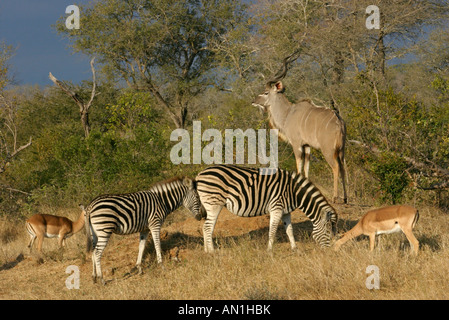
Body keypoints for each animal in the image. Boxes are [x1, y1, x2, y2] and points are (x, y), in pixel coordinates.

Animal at [195, 165, 336, 252]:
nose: (329, 252)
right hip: (214, 204)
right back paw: (212, 252)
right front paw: (269, 251)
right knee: (208, 227)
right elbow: (272, 231)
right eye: (328, 232)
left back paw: (206, 251)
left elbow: (289, 230)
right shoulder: (276, 208)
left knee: (205, 227)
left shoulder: (286, 212)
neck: (294, 192)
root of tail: (199, 175)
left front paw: (295, 249)